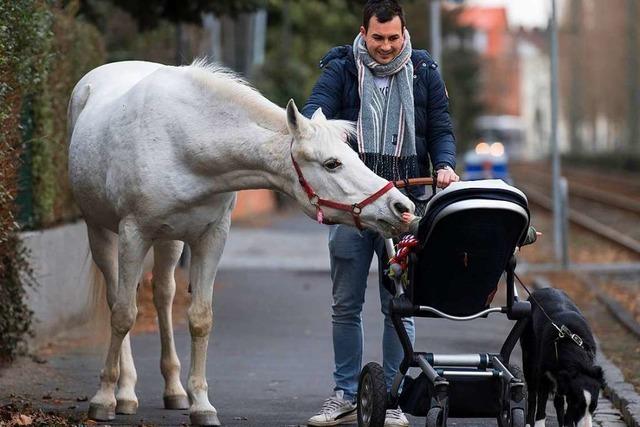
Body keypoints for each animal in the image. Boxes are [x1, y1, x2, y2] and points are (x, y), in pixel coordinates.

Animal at [66, 59, 416, 424]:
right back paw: (124, 392)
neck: (183, 143)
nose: (401, 207)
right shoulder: (133, 234)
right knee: (116, 299)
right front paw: (103, 398)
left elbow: (200, 318)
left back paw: (173, 390)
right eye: (332, 163)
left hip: (168, 242)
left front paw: (201, 405)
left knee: (162, 295)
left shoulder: (211, 237)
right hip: (102, 232)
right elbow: (123, 315)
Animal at [520, 290, 604, 426]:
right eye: (577, 406)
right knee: (532, 393)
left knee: (558, 401)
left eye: (594, 407)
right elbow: (542, 401)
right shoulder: (544, 373)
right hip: (528, 355)